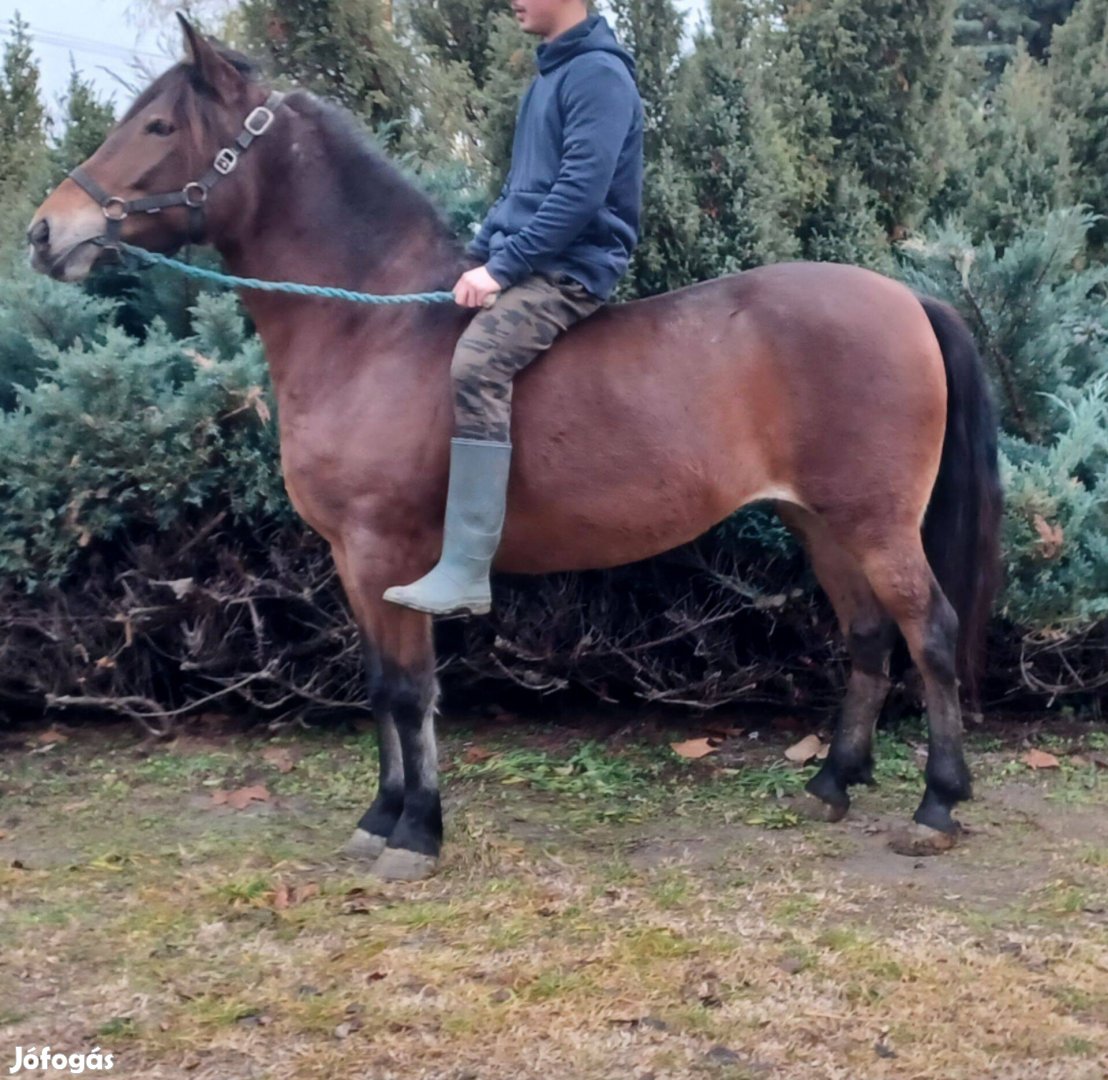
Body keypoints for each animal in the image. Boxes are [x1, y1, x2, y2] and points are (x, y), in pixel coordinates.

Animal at [28, 21, 1006, 881]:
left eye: (159, 126)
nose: (45, 231)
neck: (373, 331)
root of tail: (907, 300)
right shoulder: (351, 559)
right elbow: (380, 685)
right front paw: (380, 817)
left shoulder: (386, 551)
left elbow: (410, 690)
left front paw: (417, 834)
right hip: (821, 524)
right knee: (870, 637)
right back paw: (832, 783)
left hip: (876, 523)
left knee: (930, 630)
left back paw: (937, 804)